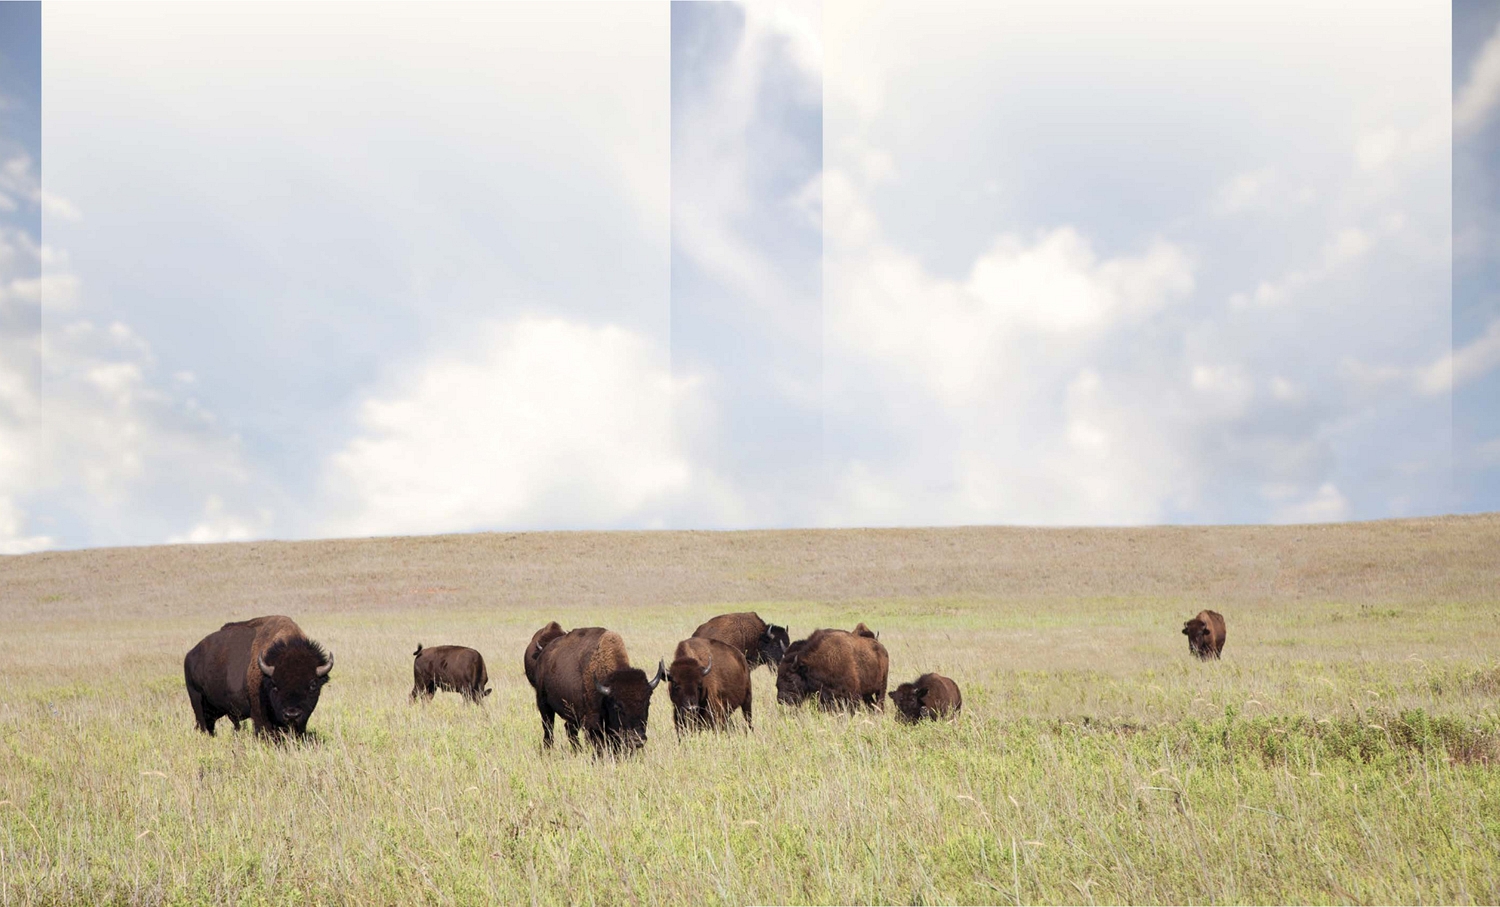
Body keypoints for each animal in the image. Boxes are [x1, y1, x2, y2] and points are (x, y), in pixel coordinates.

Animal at [184, 611, 334, 740]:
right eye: (274, 685)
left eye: (313, 684)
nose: (292, 714)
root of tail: (190, 655)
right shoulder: (259, 713)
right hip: (197, 699)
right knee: (202, 723)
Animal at [534, 626, 663, 752]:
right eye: (617, 707)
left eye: (647, 703)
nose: (637, 739)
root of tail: (543, 654)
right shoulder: (593, 724)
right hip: (544, 705)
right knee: (548, 728)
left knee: (570, 730)